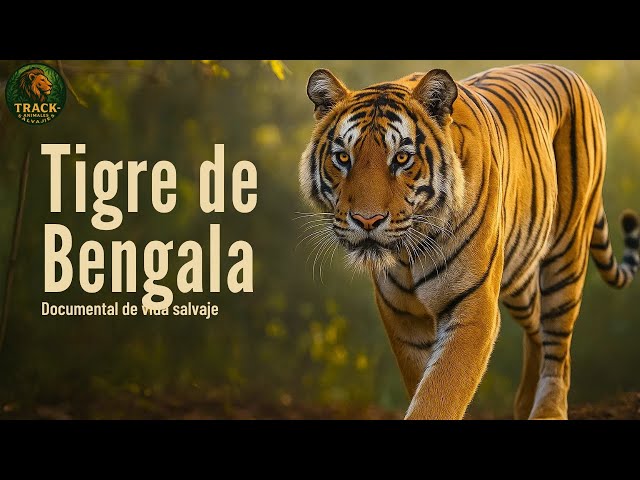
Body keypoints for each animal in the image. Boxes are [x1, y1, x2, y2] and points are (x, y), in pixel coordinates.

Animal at [298, 63, 640, 420]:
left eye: (402, 159)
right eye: (342, 157)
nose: (367, 220)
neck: (409, 252)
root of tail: (572, 73)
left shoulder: (474, 308)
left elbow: (440, 393)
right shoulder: (402, 317)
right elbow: (422, 383)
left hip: (565, 256)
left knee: (557, 342)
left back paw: (548, 410)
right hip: (519, 273)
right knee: (537, 328)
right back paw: (524, 404)